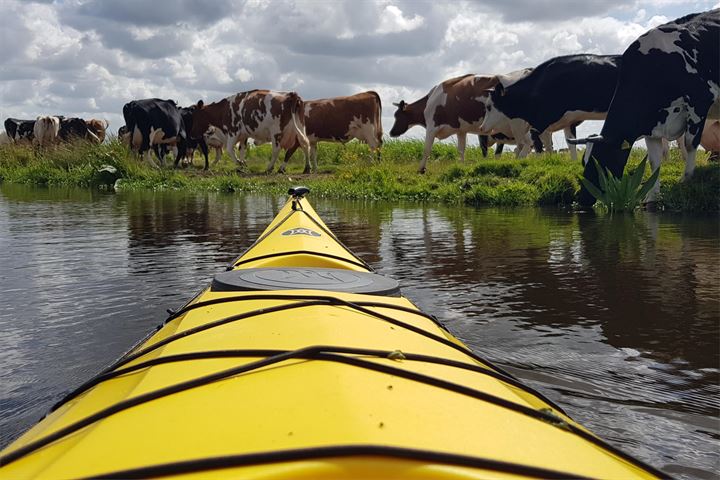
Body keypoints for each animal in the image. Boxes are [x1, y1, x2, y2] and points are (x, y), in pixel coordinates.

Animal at [478, 54, 620, 162]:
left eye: (489, 107)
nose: (481, 127)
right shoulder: (568, 122)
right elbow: (570, 143)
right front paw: (573, 162)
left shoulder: (544, 119)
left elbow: (534, 141)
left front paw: (534, 161)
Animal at [572, 8, 720, 204]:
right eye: (583, 160)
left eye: (601, 158)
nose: (582, 199)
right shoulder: (651, 124)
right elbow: (654, 160)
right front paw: (652, 196)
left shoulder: (700, 101)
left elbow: (689, 144)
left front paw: (686, 179)